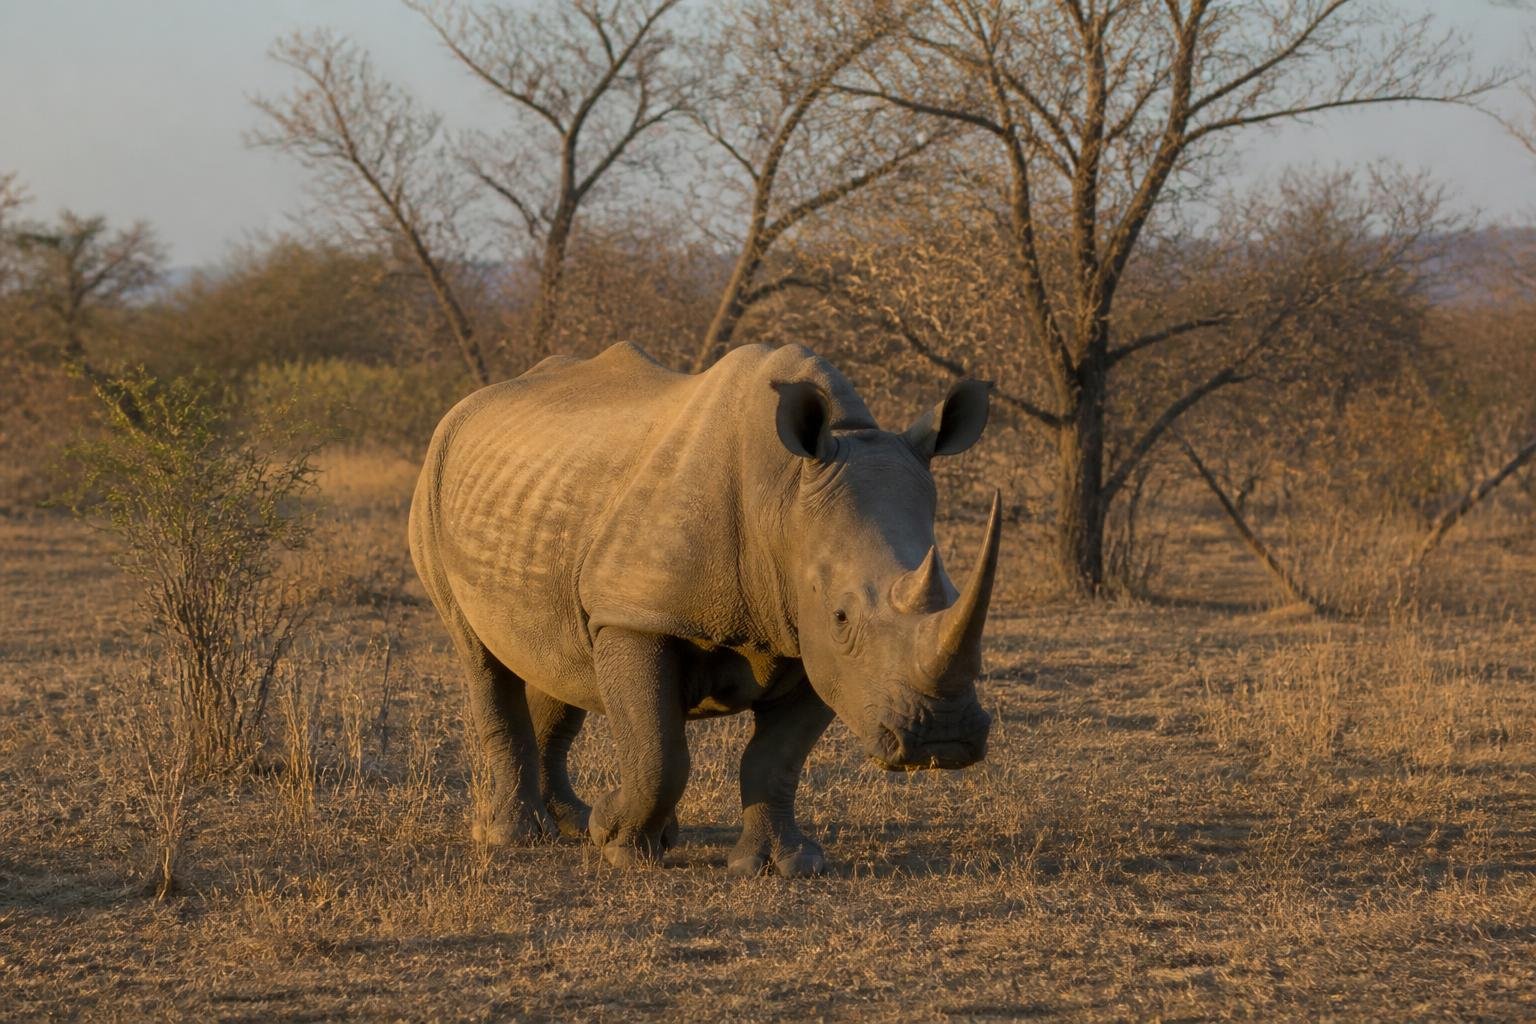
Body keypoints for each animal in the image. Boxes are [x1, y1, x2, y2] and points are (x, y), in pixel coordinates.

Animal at [408, 342, 1001, 876]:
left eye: (952, 593)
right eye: (842, 617)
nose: (942, 740)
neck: (783, 497)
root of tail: (468, 404)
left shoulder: (814, 646)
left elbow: (776, 758)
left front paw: (783, 865)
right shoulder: (635, 615)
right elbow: (659, 751)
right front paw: (619, 842)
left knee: (556, 658)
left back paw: (572, 823)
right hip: (434, 478)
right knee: (481, 657)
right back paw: (516, 836)